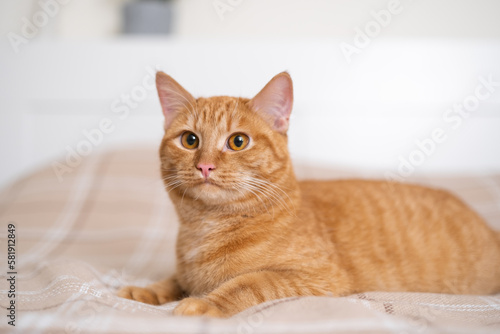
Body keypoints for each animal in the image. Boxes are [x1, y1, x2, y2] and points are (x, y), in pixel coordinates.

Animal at [117, 72, 500, 318]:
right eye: (190, 140)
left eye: (238, 141)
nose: (205, 166)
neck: (205, 229)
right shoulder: (186, 272)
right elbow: (175, 279)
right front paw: (145, 291)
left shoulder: (316, 277)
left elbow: (249, 282)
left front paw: (206, 304)